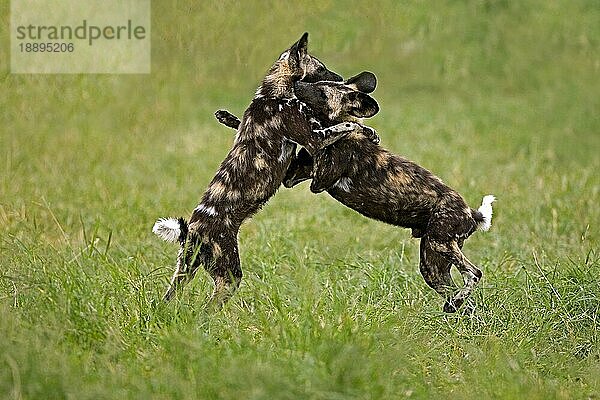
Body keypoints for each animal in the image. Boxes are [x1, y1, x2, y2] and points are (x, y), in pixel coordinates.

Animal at [150, 33, 368, 310]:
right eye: (320, 69)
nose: (340, 78)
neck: (271, 95)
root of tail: (194, 231)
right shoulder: (315, 140)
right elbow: (347, 126)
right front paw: (366, 130)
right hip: (229, 277)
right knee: (207, 309)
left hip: (184, 271)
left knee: (166, 301)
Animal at [214, 71, 492, 312]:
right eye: (319, 83)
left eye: (322, 93)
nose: (296, 85)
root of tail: (472, 213)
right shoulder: (294, 176)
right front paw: (227, 117)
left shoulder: (319, 180)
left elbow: (330, 136)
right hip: (432, 264)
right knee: (462, 298)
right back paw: (457, 310)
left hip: (440, 243)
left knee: (475, 274)